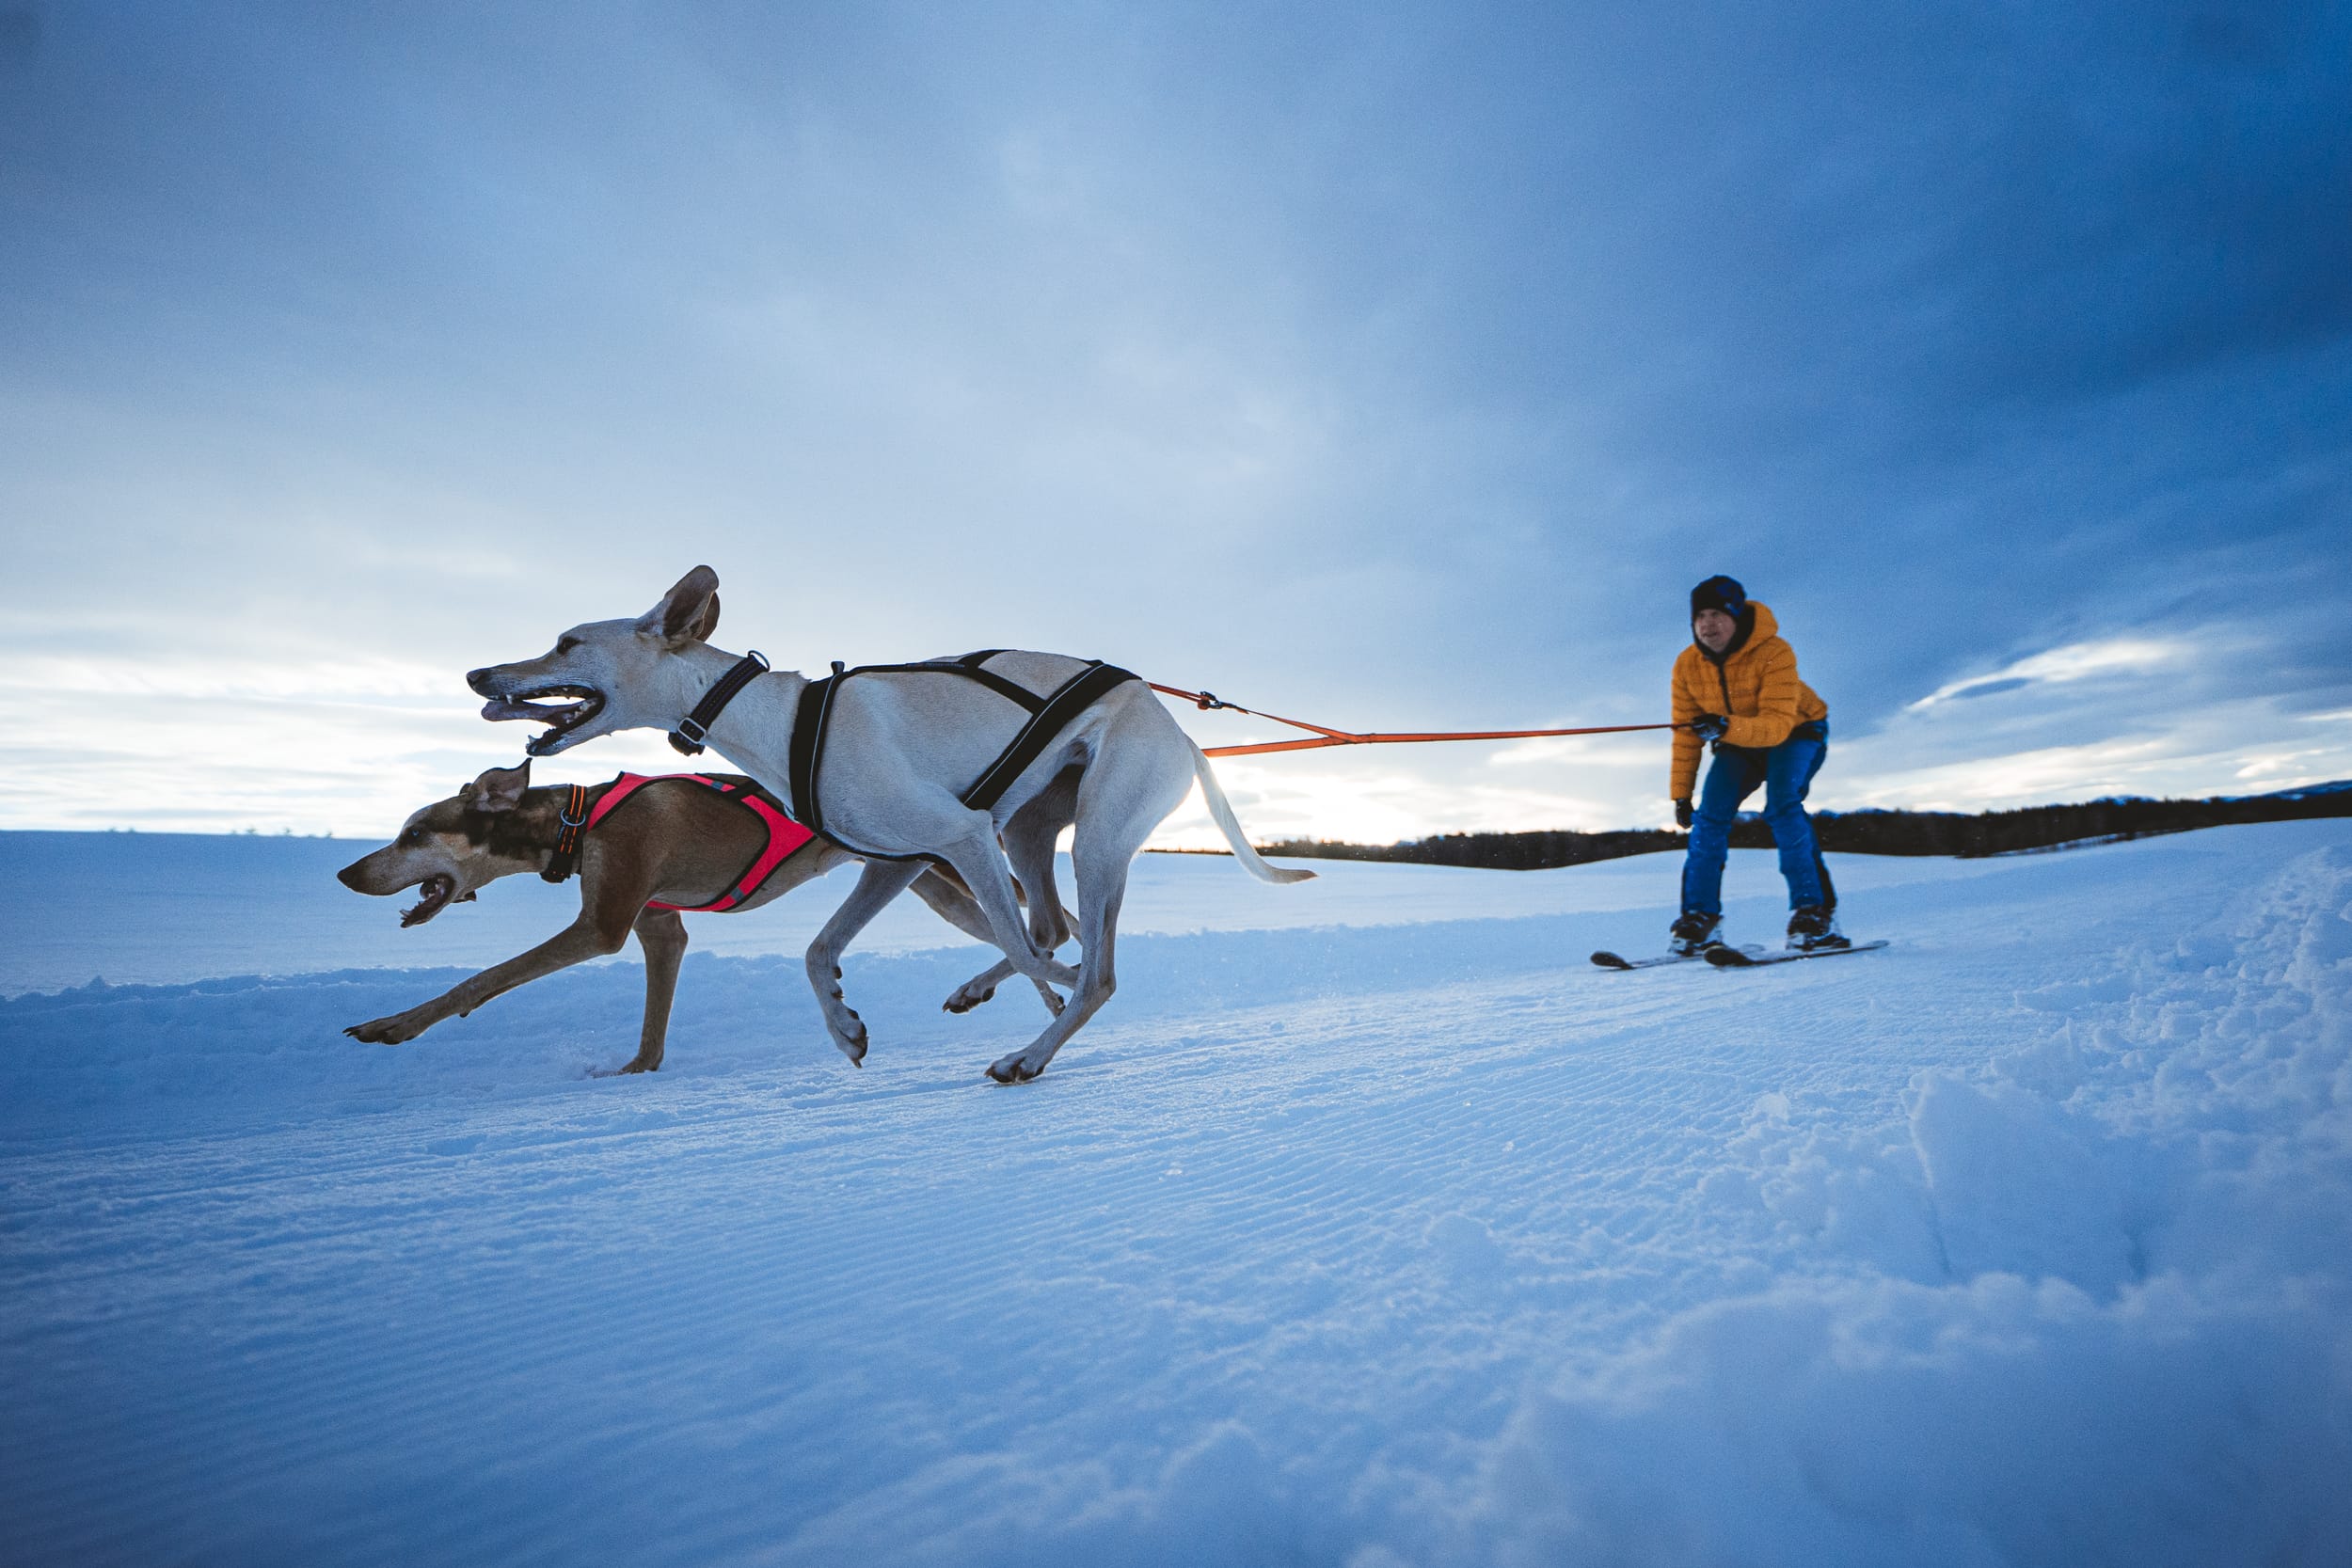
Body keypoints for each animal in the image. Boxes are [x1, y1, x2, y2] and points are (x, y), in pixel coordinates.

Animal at [334, 761, 1049, 1081]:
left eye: (415, 832)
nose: (346, 874)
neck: (578, 820)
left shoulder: (602, 925)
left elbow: (482, 978)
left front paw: (392, 1024)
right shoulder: (659, 928)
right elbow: (652, 1033)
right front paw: (633, 1072)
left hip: (953, 874)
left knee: (1049, 932)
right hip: (934, 888)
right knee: (1041, 938)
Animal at [458, 571, 1308, 1085]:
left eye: (567, 642)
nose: (475, 674)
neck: (783, 720)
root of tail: (1183, 733)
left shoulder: (960, 836)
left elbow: (1037, 956)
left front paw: (1044, 1008)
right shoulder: (897, 859)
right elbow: (817, 949)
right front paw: (843, 1025)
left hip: (1093, 838)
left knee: (1088, 962)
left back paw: (1029, 1053)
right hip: (1030, 834)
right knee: (1048, 930)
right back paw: (984, 991)